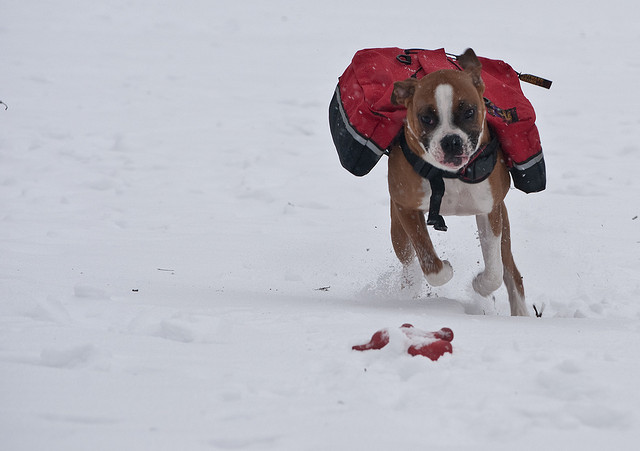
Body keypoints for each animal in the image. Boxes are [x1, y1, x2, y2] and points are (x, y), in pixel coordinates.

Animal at [387, 48, 528, 316]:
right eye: (426, 118)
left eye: (469, 112)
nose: (451, 141)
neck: (449, 176)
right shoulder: (405, 208)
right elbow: (431, 266)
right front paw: (445, 269)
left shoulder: (490, 210)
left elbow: (495, 272)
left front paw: (480, 285)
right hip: (397, 230)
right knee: (409, 262)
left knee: (510, 271)